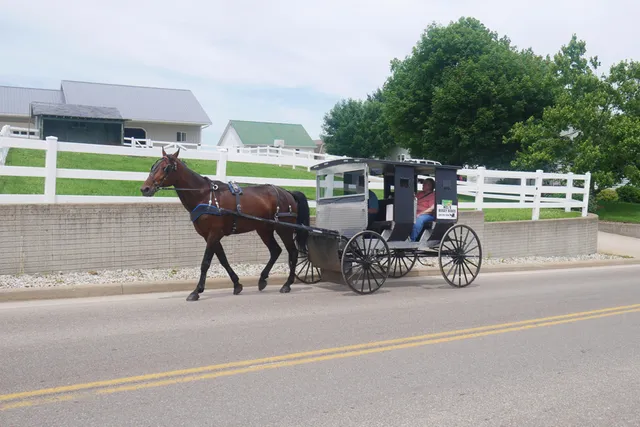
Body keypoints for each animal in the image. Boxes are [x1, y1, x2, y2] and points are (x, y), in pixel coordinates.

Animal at [140, 148, 310, 301]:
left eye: (165, 168)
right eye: (153, 167)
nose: (145, 188)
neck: (205, 196)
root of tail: (287, 192)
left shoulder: (214, 233)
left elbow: (205, 262)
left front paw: (196, 291)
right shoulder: (209, 236)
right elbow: (222, 259)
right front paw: (236, 284)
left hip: (284, 229)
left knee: (293, 253)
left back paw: (287, 284)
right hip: (264, 229)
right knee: (275, 251)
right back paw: (262, 279)